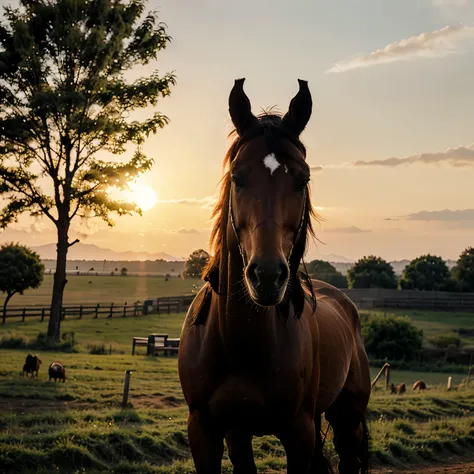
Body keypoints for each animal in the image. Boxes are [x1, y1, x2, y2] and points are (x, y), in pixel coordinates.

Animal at [177, 78, 370, 474]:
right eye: (237, 177)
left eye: (302, 179)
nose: (267, 276)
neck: (239, 344)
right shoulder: (211, 431)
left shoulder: (298, 433)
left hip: (347, 420)